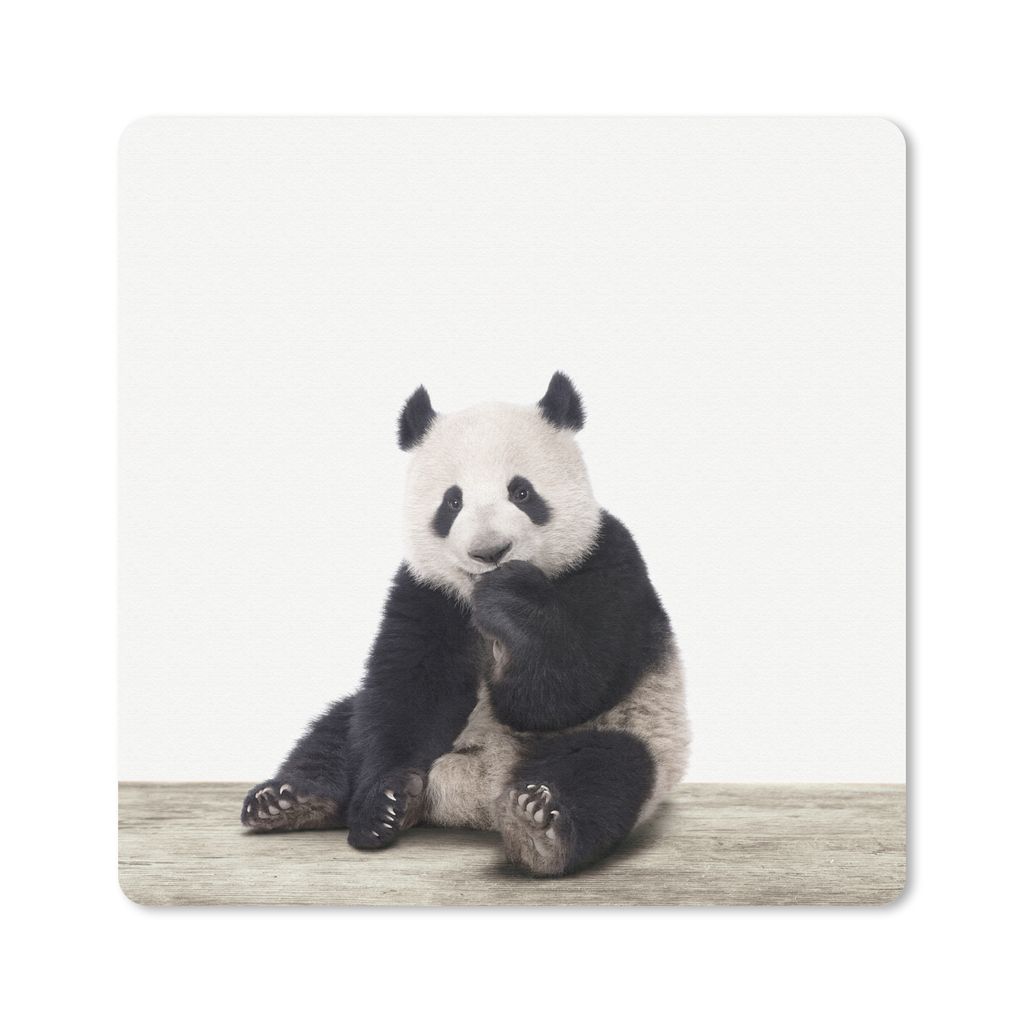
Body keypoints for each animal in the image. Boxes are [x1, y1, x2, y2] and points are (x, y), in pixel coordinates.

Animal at [242, 372, 689, 877]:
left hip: (638, 731)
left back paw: (539, 826)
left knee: (607, 770)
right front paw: (383, 804)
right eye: (452, 502)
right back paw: (292, 801)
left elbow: (565, 689)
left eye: (522, 492)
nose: (490, 551)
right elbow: (410, 693)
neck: (475, 596)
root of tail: (474, 796)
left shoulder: (607, 562)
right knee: (338, 729)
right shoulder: (427, 592)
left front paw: (512, 601)